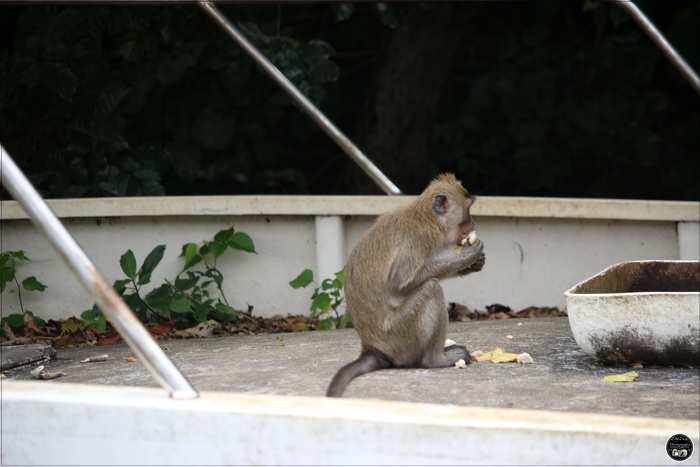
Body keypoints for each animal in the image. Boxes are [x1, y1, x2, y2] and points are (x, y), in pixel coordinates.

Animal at [326, 174, 482, 396]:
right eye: (467, 210)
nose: (473, 223)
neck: (427, 219)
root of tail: (372, 347)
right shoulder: (419, 239)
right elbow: (400, 283)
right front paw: (467, 257)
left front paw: (474, 263)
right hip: (402, 336)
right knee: (431, 288)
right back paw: (434, 359)